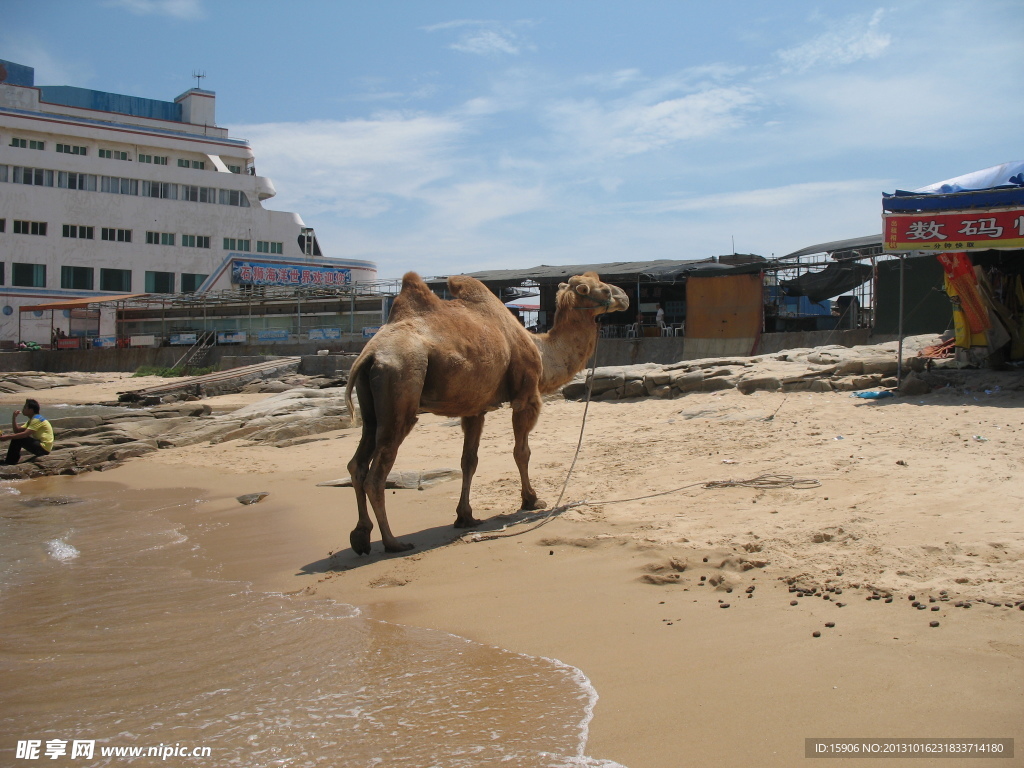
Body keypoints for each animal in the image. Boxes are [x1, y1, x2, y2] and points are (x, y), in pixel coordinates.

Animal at [348, 270, 626, 552]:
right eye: (603, 289)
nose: (624, 296)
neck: (541, 350)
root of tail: (370, 354)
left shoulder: (474, 409)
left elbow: (468, 461)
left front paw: (465, 516)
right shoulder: (526, 396)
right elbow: (522, 452)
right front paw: (531, 500)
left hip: (372, 406)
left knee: (357, 463)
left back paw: (361, 536)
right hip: (401, 382)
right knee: (376, 474)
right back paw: (393, 542)